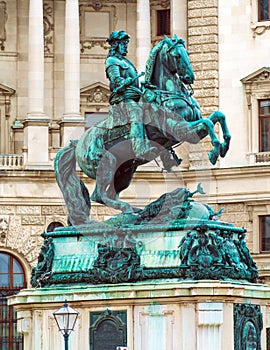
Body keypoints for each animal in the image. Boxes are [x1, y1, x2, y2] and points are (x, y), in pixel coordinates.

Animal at [54, 34, 230, 224]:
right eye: (176, 55)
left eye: (188, 53)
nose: (189, 77)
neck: (166, 93)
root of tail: (77, 143)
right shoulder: (179, 129)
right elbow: (208, 123)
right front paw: (214, 151)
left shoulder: (192, 126)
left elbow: (218, 116)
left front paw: (224, 146)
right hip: (107, 162)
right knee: (100, 194)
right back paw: (129, 210)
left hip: (124, 172)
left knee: (103, 195)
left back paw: (136, 211)